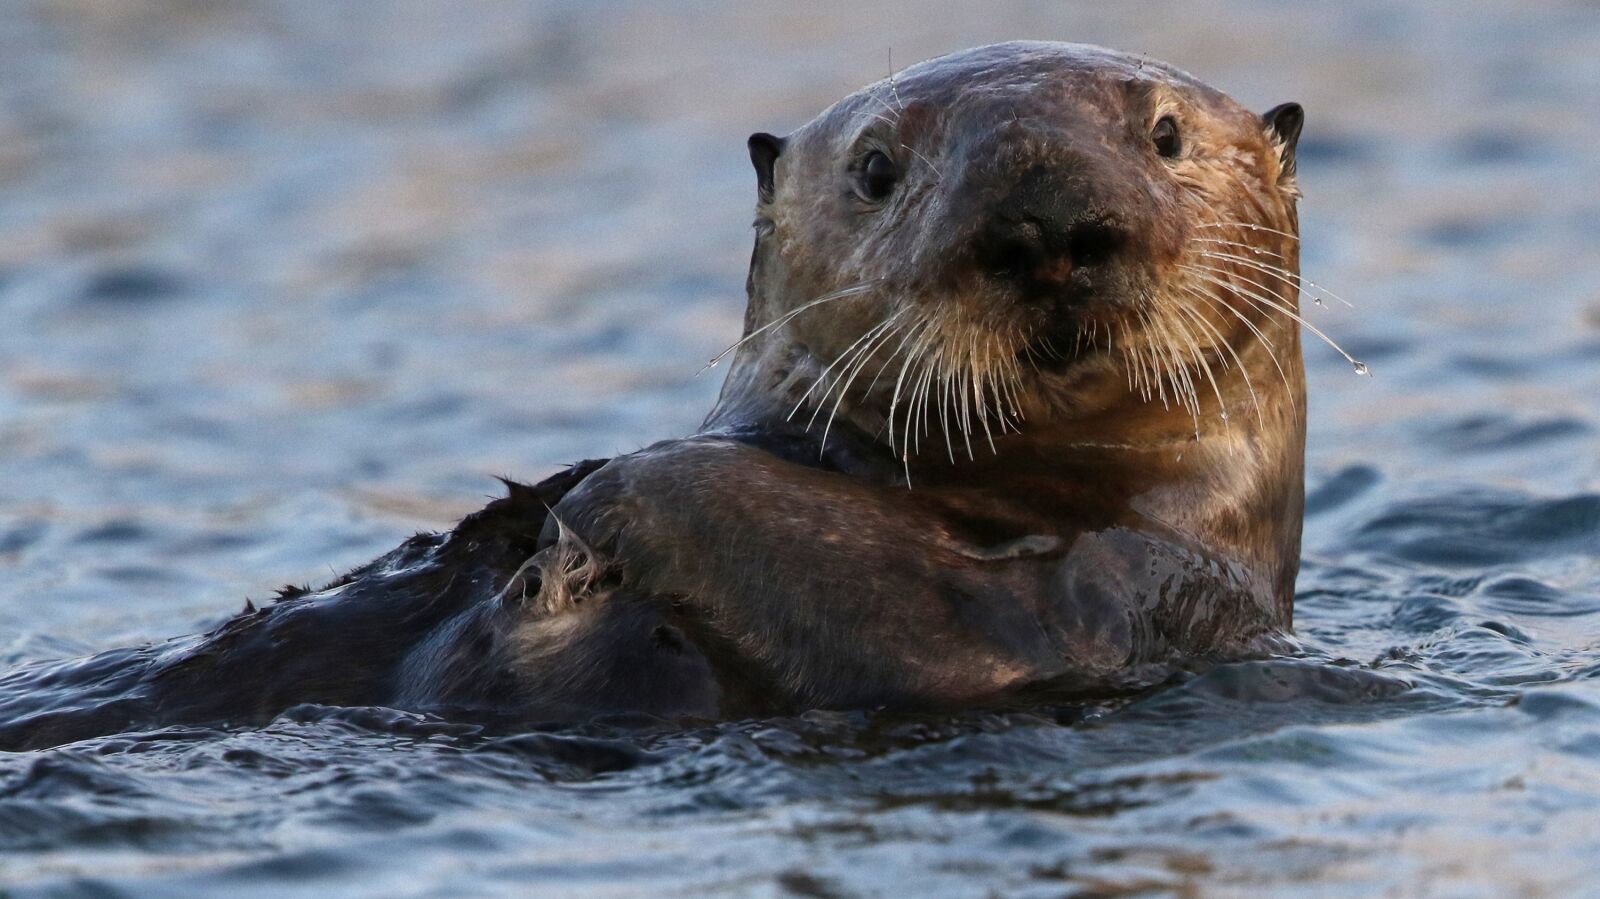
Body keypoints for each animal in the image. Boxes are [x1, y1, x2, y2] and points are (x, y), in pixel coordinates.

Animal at [0, 41, 1331, 748]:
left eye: (1164, 135)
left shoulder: (1140, 596)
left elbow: (934, 614)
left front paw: (595, 504)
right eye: (878, 168)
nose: (1049, 225)